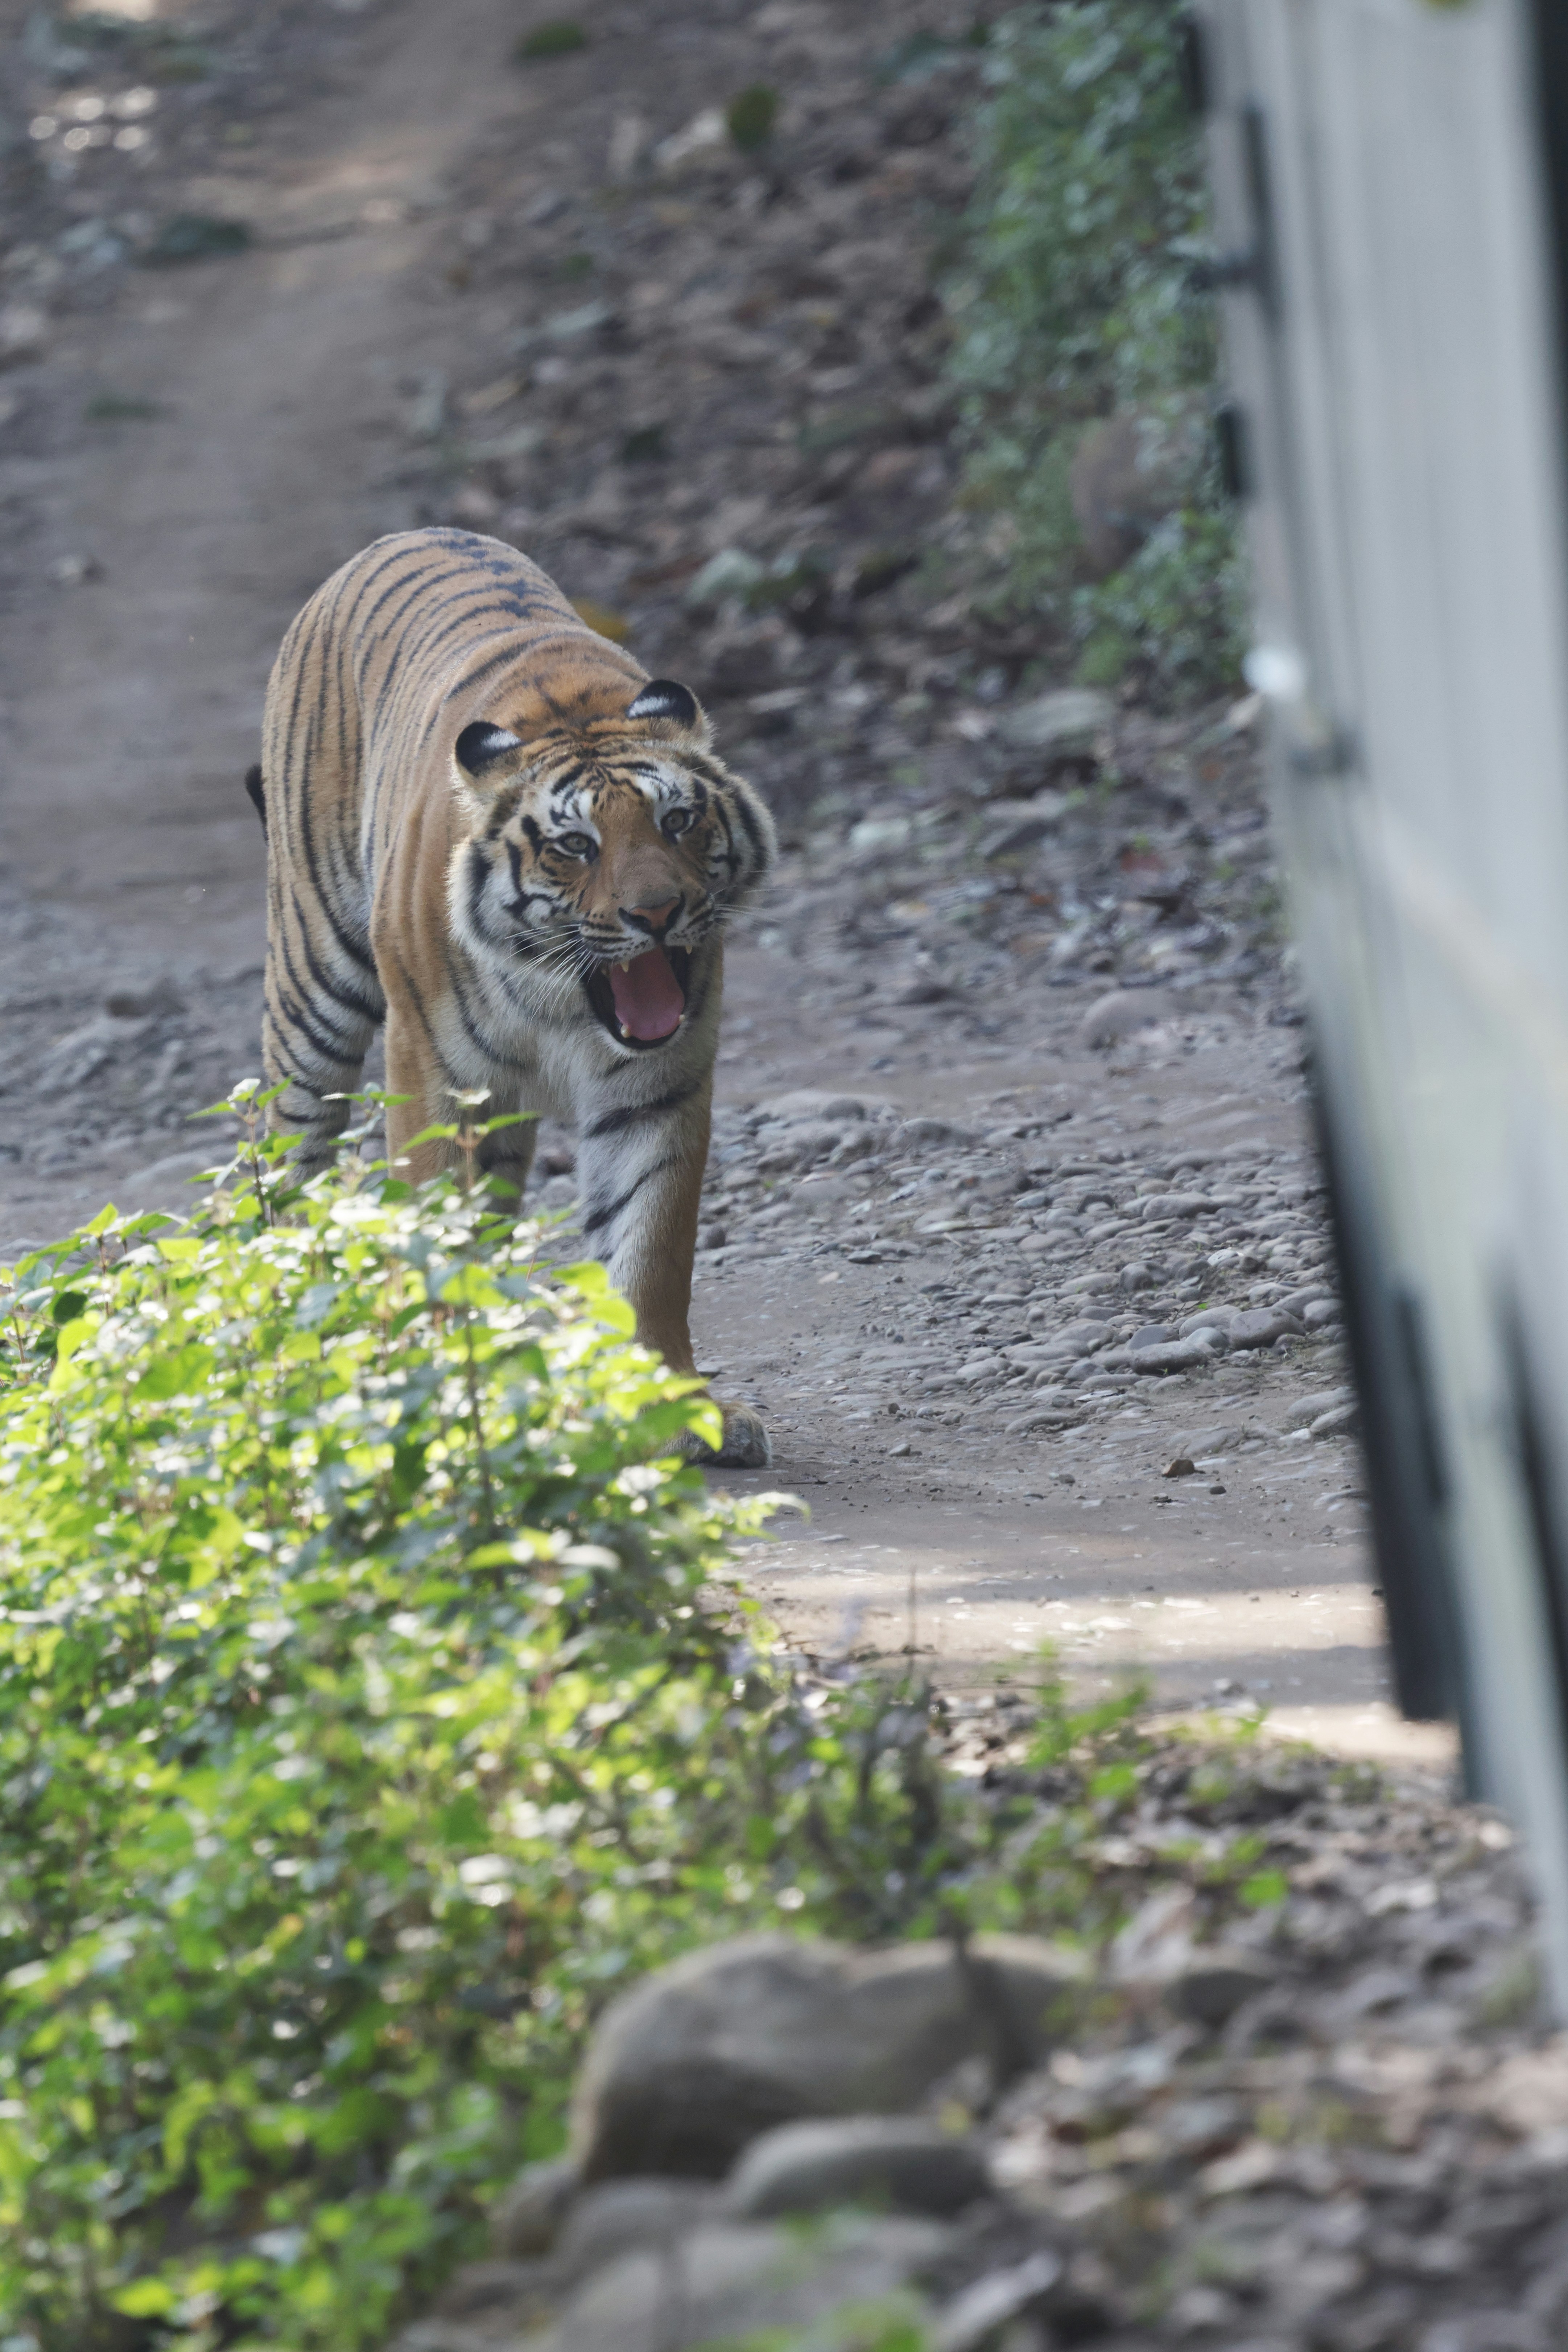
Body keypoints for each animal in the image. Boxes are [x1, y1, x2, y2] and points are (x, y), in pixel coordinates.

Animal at [246, 526, 776, 1467]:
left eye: (677, 822)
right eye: (574, 845)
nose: (656, 913)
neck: (560, 996)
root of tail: (401, 535)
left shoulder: (658, 1082)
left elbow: (651, 1247)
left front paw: (670, 1405)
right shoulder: (430, 1071)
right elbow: (433, 1228)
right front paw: (445, 1397)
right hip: (313, 987)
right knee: (293, 1160)